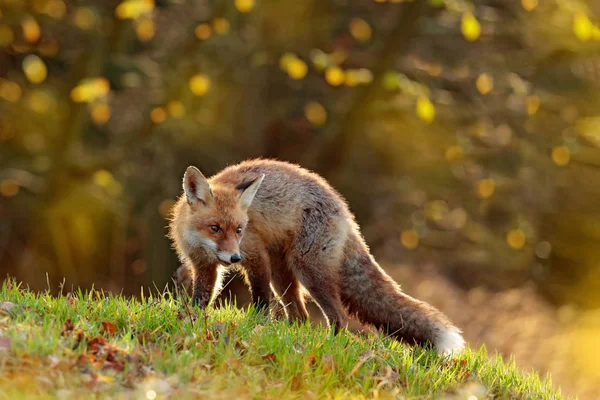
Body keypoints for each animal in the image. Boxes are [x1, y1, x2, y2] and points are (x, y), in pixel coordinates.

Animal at [168, 159, 464, 354]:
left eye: (239, 230)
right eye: (215, 228)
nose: (233, 259)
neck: (202, 245)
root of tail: (345, 210)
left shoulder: (255, 256)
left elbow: (261, 302)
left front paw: (256, 328)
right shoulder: (204, 267)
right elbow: (200, 299)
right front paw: (191, 321)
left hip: (308, 272)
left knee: (338, 317)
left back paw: (328, 345)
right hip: (283, 276)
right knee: (300, 316)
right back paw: (291, 339)